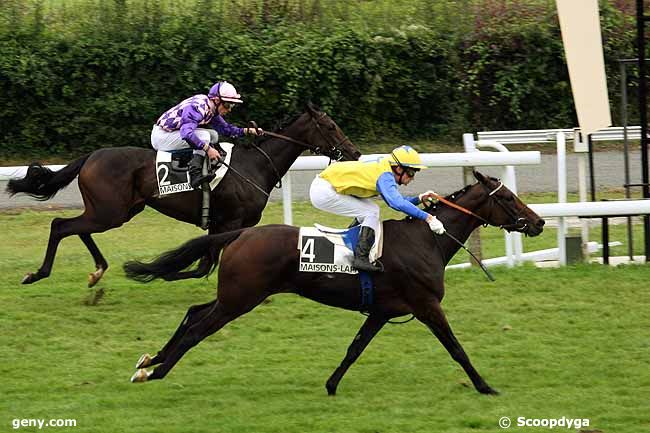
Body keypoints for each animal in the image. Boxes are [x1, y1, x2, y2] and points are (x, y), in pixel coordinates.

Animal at [6, 103, 360, 286]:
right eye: (330, 126)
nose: (354, 153)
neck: (255, 165)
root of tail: (92, 156)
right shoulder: (229, 222)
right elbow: (201, 264)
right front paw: (154, 270)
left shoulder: (228, 225)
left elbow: (203, 262)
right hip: (109, 212)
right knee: (60, 225)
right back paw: (37, 273)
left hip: (114, 211)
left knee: (76, 228)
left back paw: (97, 271)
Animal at [124, 170, 544, 394]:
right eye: (508, 197)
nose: (538, 222)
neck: (427, 241)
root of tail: (239, 233)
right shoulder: (426, 305)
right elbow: (456, 348)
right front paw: (485, 386)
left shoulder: (383, 311)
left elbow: (354, 348)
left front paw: (330, 385)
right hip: (240, 298)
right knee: (199, 328)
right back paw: (158, 371)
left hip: (235, 295)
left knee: (194, 312)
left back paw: (149, 361)